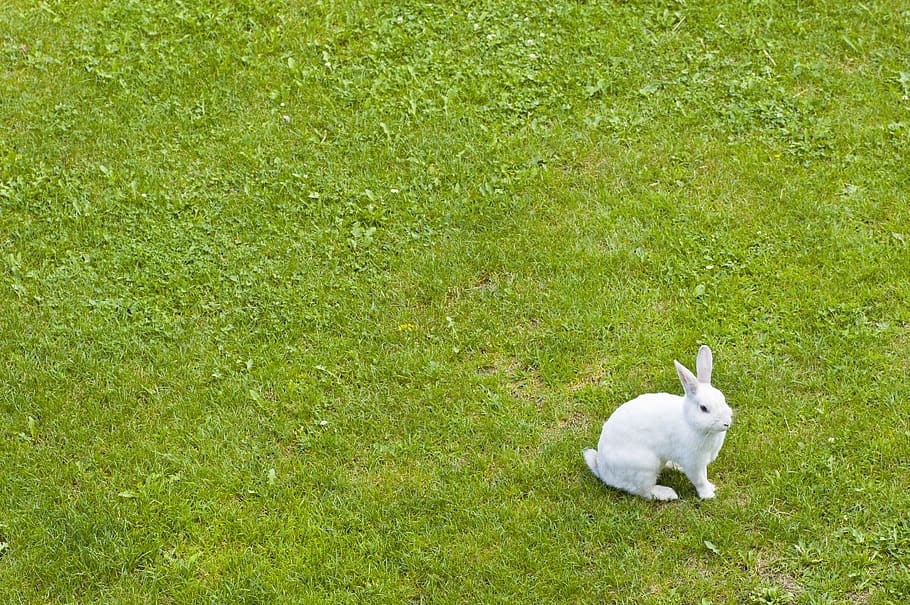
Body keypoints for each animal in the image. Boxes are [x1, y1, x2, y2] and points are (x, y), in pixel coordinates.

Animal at [582, 345, 732, 501]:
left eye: (723, 398)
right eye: (703, 408)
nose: (727, 423)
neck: (690, 422)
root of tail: (602, 469)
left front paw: (711, 487)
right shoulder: (693, 463)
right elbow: (700, 480)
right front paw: (708, 495)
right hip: (645, 468)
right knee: (644, 491)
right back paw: (667, 493)